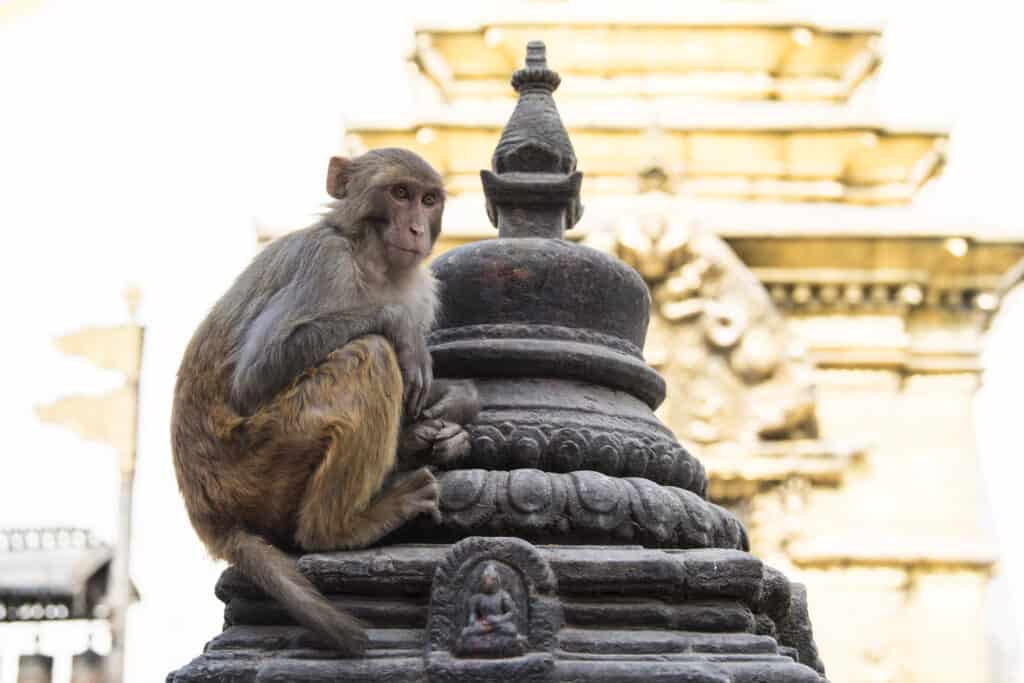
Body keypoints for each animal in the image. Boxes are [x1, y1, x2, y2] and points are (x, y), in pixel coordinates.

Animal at [170, 148, 480, 656]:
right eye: (400, 193)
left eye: (429, 200)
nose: (416, 228)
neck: (372, 261)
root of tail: (209, 517)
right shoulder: (325, 263)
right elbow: (255, 376)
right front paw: (399, 328)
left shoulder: (421, 290)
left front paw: (454, 413)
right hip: (256, 463)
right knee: (370, 353)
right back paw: (340, 528)